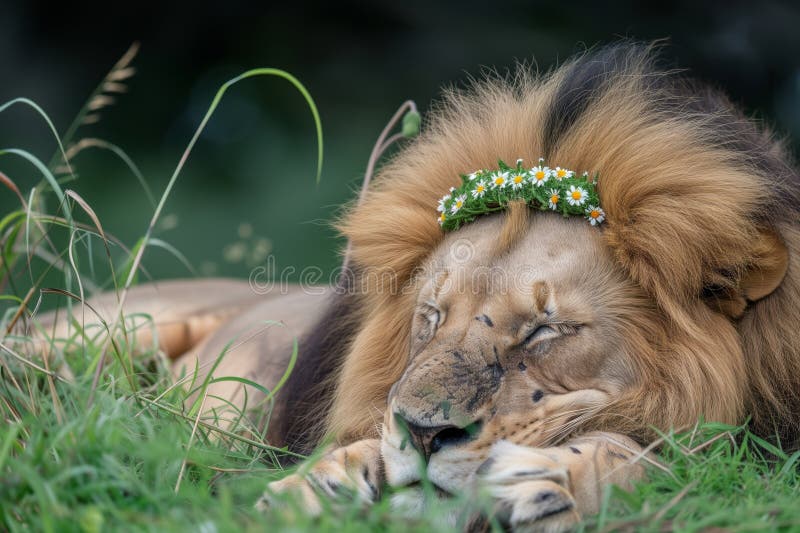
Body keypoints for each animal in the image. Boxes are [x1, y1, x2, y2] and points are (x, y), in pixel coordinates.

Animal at [28, 43, 800, 531]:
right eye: (430, 314)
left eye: (546, 330)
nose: (426, 434)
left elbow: (641, 453)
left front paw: (545, 480)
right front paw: (322, 484)